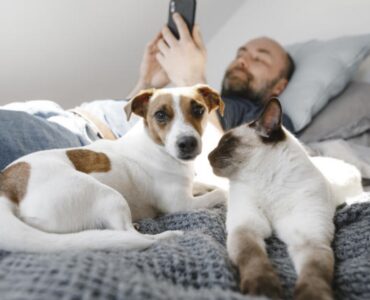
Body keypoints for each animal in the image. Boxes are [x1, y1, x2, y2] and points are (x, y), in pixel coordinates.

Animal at [0, 84, 225, 253]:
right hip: (108, 196)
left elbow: (208, 185)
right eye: (160, 115)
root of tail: (8, 186)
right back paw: (164, 235)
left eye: (198, 110)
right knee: (135, 236)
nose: (187, 143)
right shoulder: (180, 204)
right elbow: (220, 193)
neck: (156, 146)